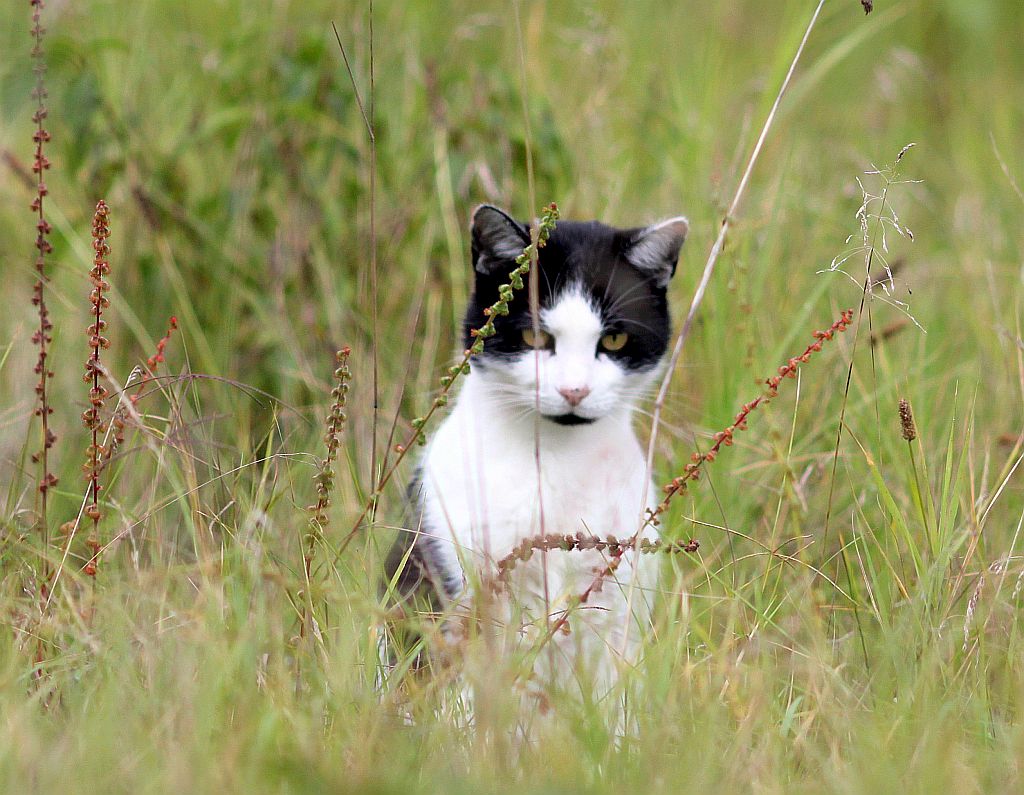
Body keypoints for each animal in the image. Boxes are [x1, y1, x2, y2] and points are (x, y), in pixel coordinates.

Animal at [385, 201, 688, 704]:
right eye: (533, 338)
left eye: (614, 340)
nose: (574, 390)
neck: (559, 464)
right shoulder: (462, 581)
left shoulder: (618, 601)